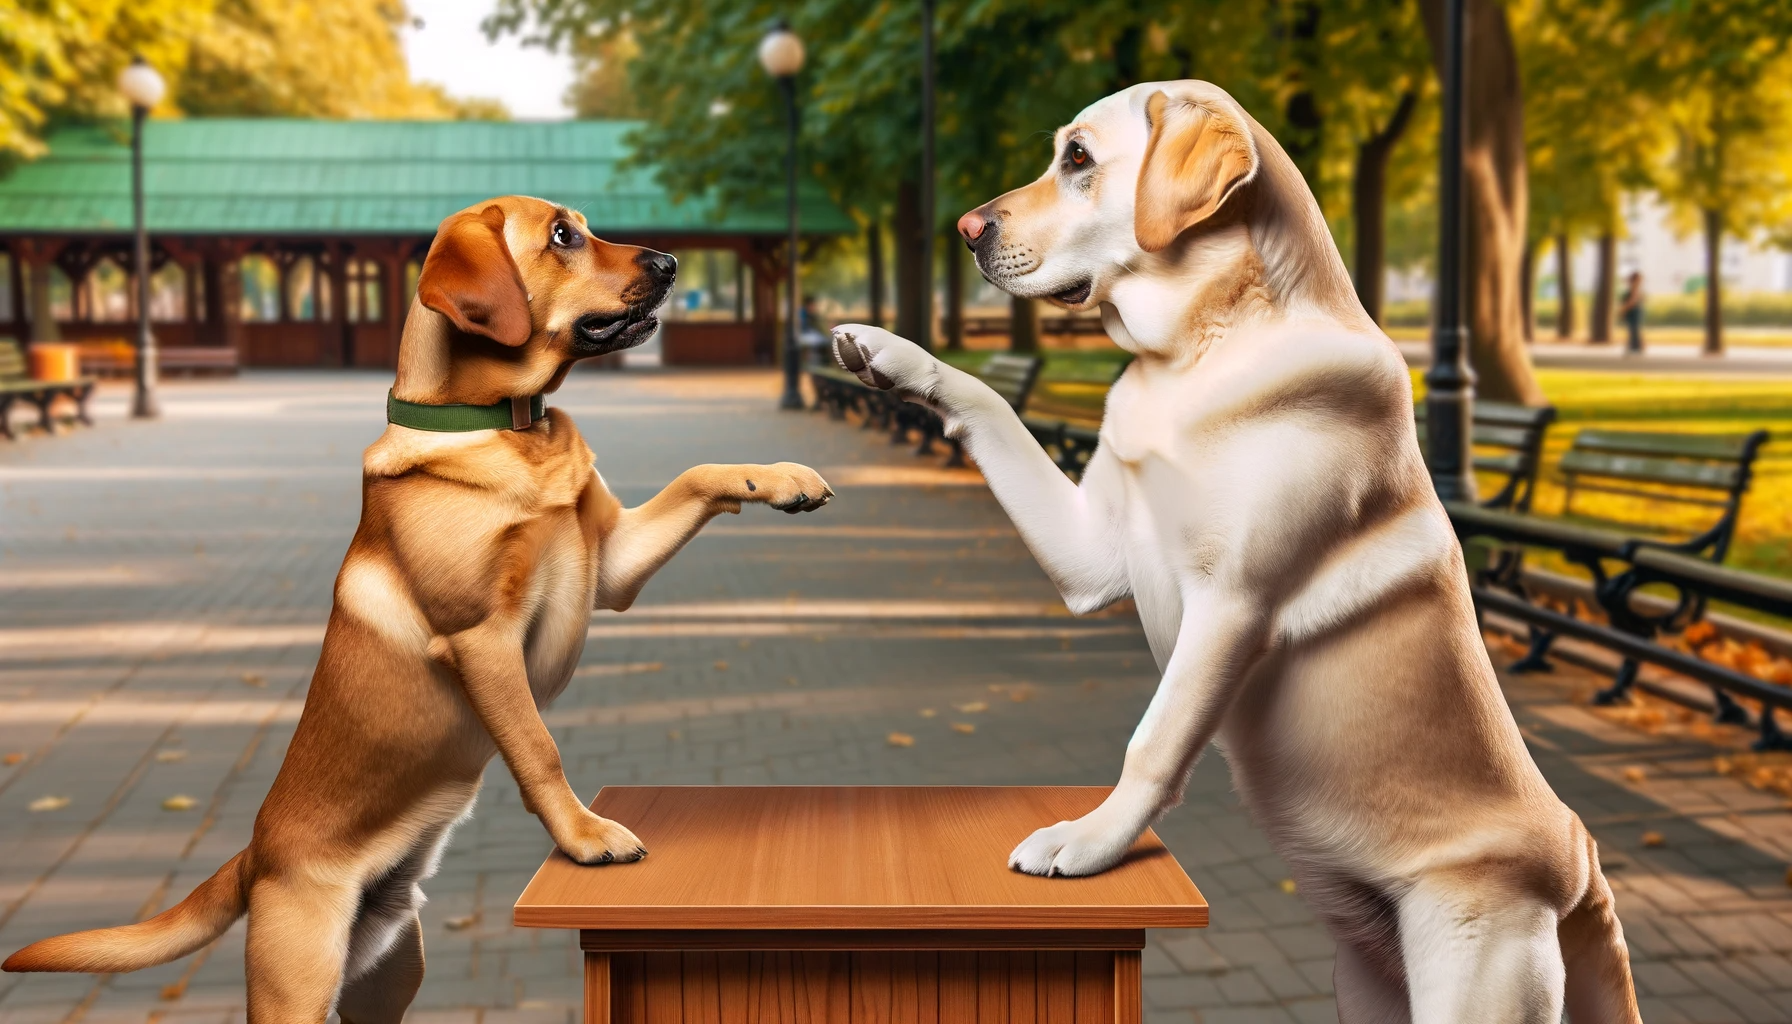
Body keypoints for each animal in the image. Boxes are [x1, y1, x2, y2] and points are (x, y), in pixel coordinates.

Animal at [3, 196, 831, 1018]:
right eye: (562, 235)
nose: (671, 264)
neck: (502, 423)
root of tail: (255, 855)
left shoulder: (616, 565)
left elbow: (701, 473)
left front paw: (783, 477)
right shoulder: (482, 639)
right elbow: (539, 748)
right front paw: (585, 835)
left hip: (392, 976)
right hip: (295, 985)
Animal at [824, 82, 1641, 1024]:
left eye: (1077, 158)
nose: (963, 228)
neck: (1194, 358)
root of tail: (1580, 864)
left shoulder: (1233, 603)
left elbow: (1154, 740)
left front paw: (1090, 840)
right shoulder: (1090, 553)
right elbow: (989, 400)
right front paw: (887, 350)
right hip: (1365, 984)